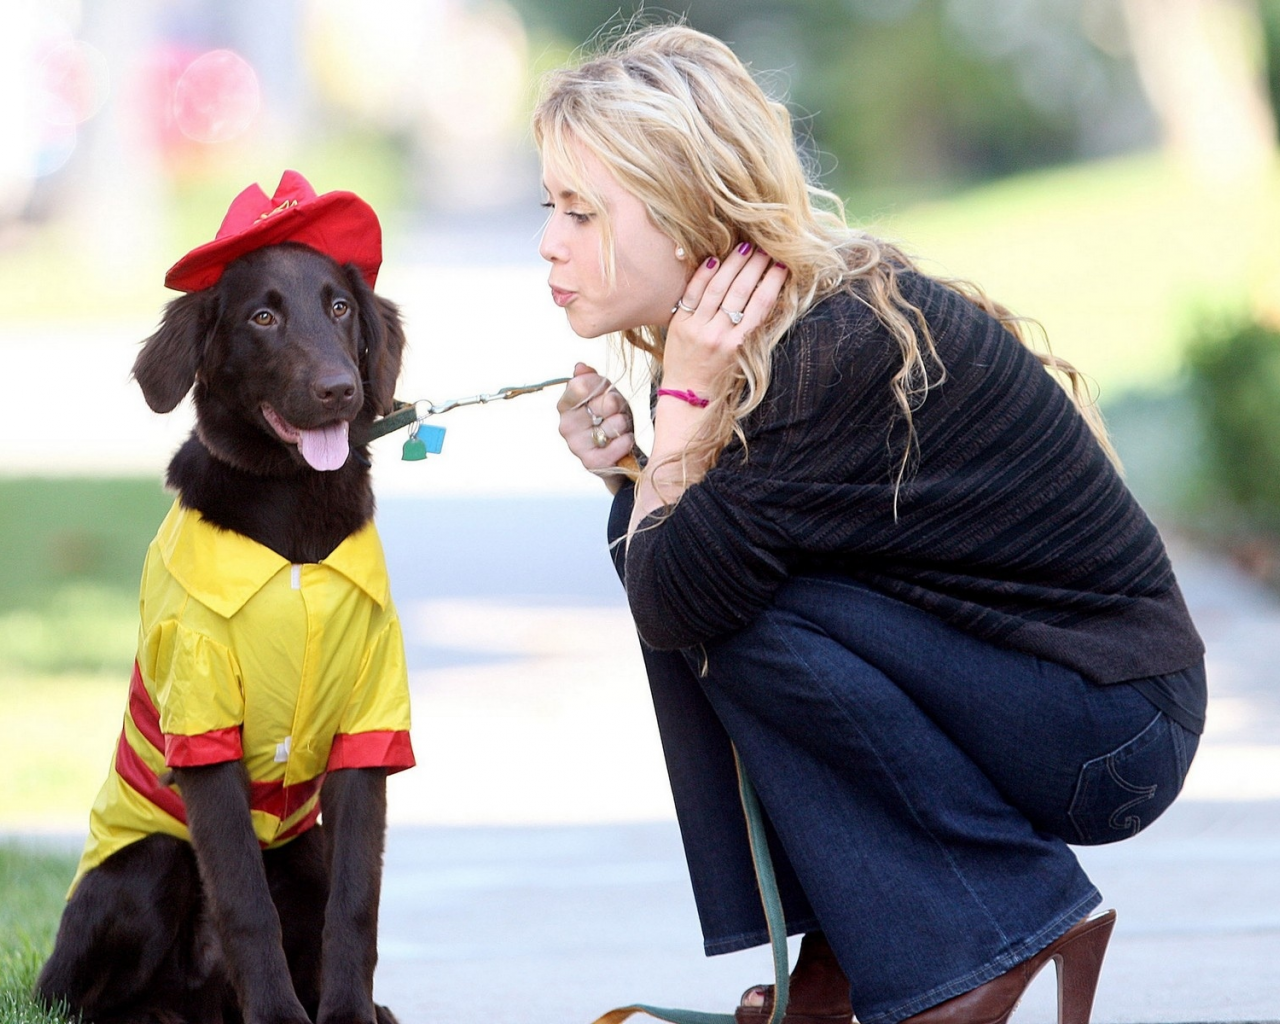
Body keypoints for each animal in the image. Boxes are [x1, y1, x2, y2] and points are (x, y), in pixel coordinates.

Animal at [37, 230, 409, 1013]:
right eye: (261, 319)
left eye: (339, 307)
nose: (340, 389)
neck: (295, 517)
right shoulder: (203, 730)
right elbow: (243, 900)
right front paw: (278, 1016)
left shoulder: (368, 729)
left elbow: (357, 902)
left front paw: (351, 1014)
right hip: (147, 862)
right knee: (81, 997)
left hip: (303, 853)